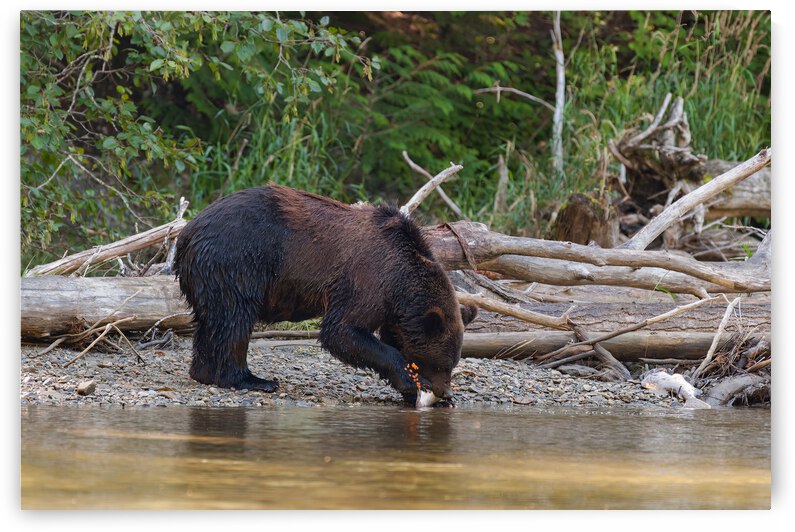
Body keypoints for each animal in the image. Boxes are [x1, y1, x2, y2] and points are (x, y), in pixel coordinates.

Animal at [174, 184, 478, 405]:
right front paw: (412, 382)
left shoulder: (391, 307)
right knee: (235, 319)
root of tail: (186, 233)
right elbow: (342, 330)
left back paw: (203, 373)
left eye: (453, 364)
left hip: (209, 274)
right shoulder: (367, 279)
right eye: (442, 363)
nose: (446, 392)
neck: (401, 281)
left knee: (210, 321)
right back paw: (252, 379)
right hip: (237, 261)